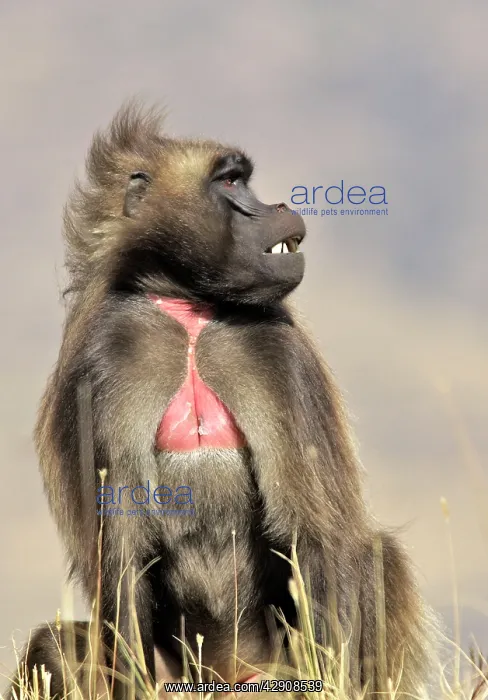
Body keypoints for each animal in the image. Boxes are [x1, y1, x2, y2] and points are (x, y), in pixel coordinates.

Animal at [8, 102, 435, 700]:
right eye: (230, 182)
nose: (279, 207)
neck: (188, 311)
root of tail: (227, 677)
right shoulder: (104, 360)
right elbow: (121, 559)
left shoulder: (276, 351)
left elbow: (317, 535)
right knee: (54, 644)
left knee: (371, 552)